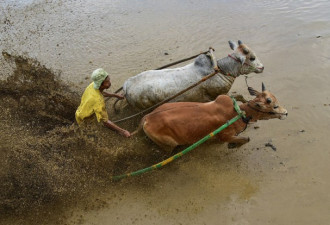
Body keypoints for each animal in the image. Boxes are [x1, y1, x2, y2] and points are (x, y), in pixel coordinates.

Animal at [135, 83, 288, 152]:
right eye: (274, 106)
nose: (286, 113)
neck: (239, 113)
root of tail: (147, 118)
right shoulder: (224, 136)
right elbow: (246, 139)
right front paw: (232, 145)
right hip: (168, 145)